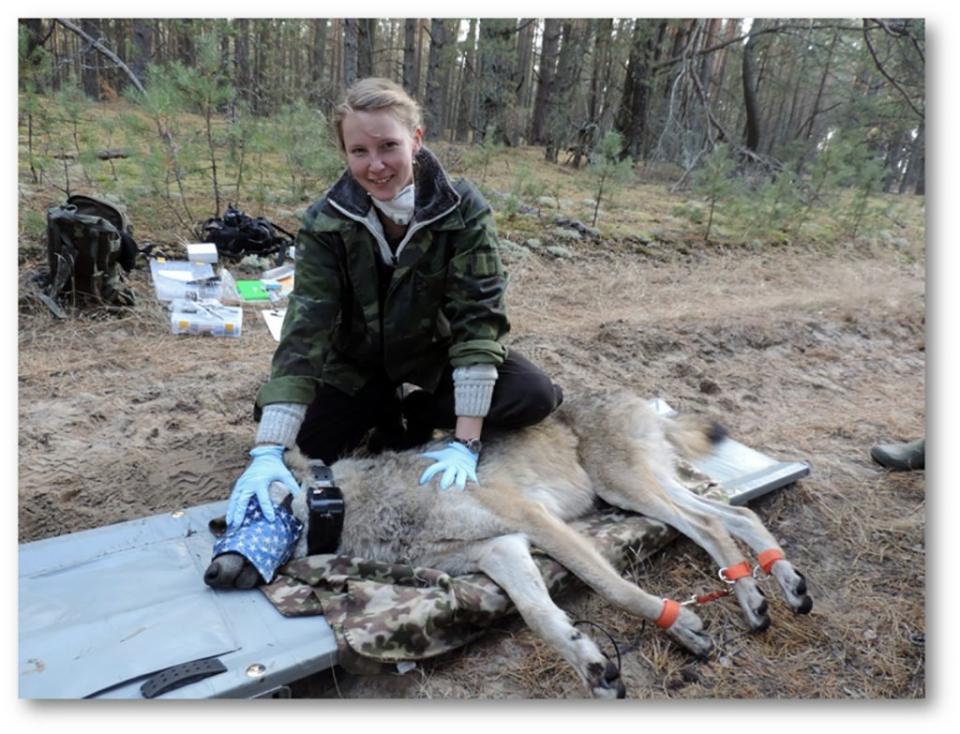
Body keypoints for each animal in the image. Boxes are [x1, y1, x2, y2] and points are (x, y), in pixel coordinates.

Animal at [206, 388, 812, 700]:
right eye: (224, 524)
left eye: (242, 514)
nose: (210, 573)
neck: (361, 505)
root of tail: (640, 398)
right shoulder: (501, 549)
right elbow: (540, 616)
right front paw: (592, 664)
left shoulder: (532, 521)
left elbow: (609, 586)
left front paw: (676, 623)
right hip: (639, 491)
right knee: (729, 515)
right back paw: (774, 590)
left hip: (623, 488)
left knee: (711, 522)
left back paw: (757, 594)